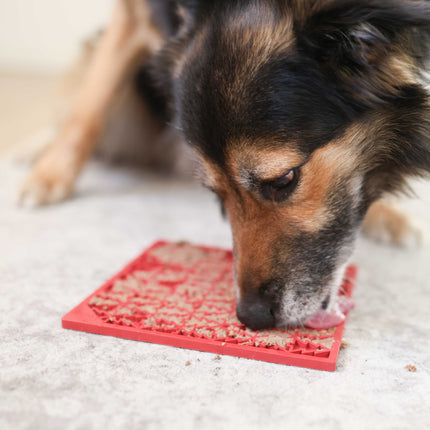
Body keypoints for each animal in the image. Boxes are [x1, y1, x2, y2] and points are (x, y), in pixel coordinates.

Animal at [18, 0, 430, 330]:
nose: (252, 316)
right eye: (217, 193)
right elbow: (88, 106)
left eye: (283, 180)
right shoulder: (131, 11)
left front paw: (387, 215)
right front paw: (50, 176)